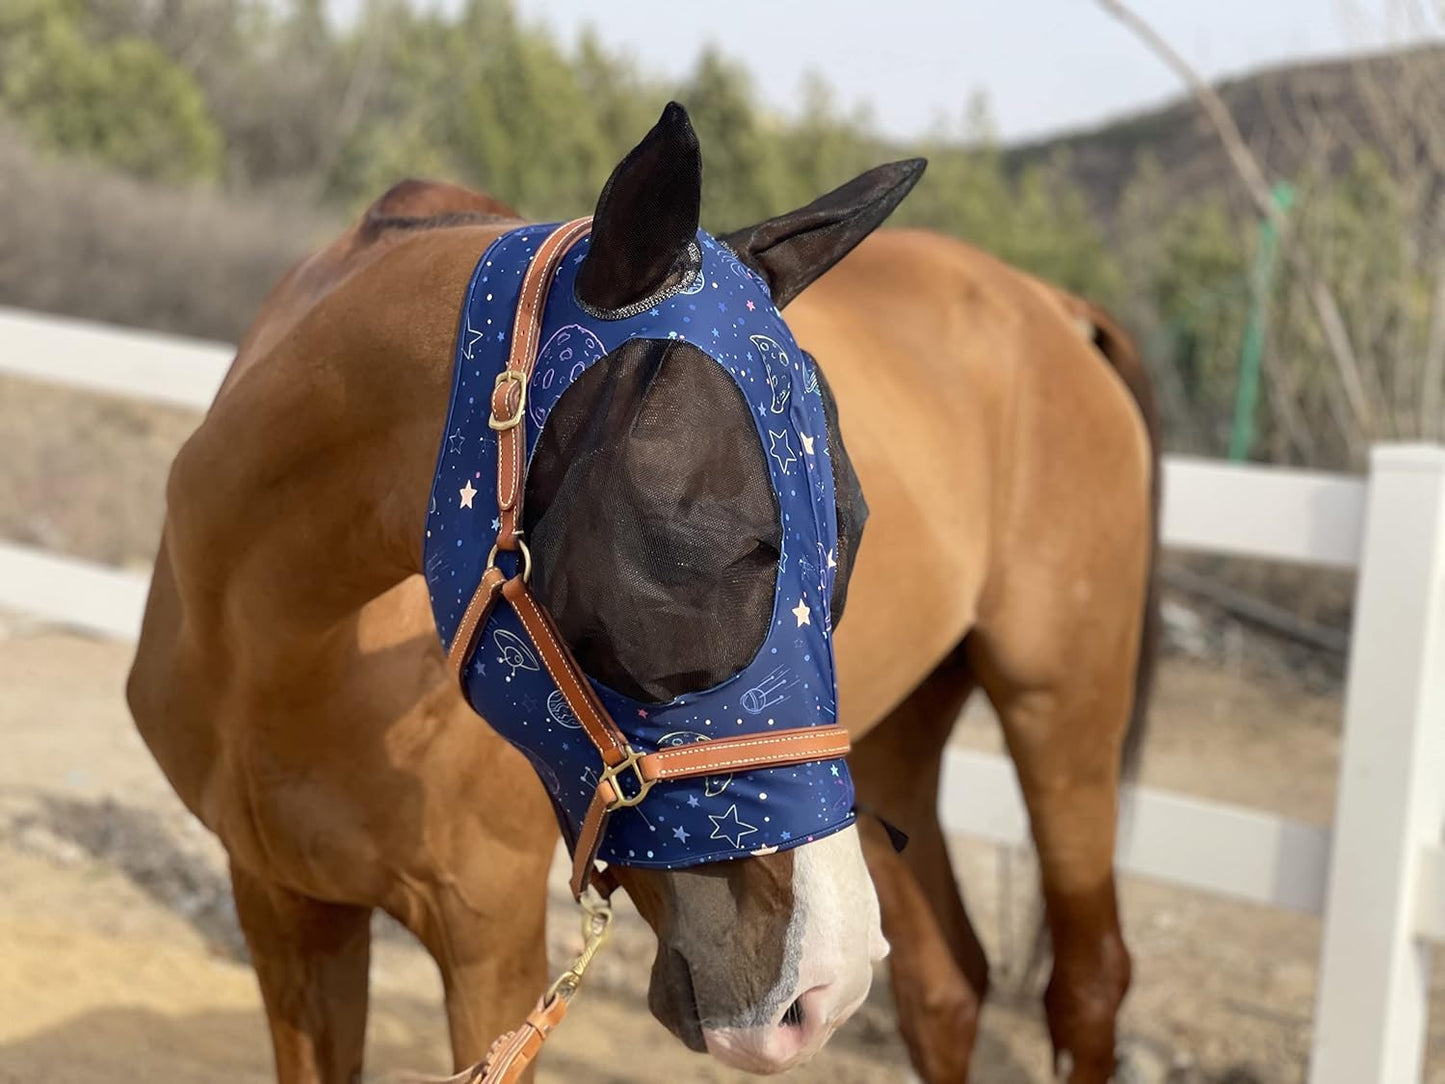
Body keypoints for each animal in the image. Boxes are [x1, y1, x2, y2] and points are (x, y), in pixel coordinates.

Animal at [127, 103, 1156, 1084]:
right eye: (694, 536)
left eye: (852, 532)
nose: (818, 985)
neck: (282, 644)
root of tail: (1055, 307)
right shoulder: (283, 904)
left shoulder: (485, 939)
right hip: (897, 737)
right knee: (945, 990)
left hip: (1061, 714)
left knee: (1088, 983)